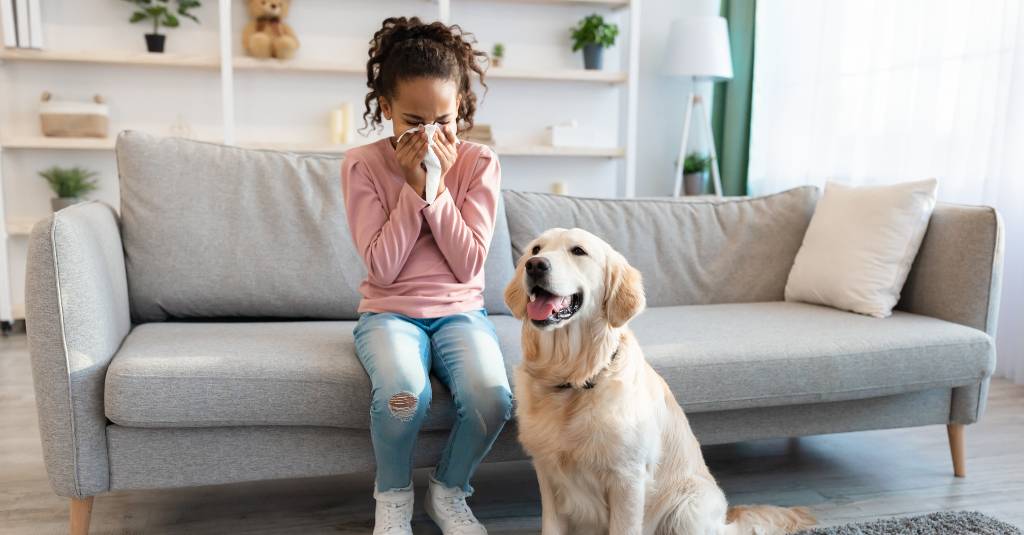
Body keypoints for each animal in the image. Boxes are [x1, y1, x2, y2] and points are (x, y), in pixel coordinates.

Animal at [503, 227, 815, 532]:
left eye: (578, 250)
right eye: (536, 249)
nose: (535, 265)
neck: (573, 378)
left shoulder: (627, 478)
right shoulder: (548, 474)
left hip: (687, 509)